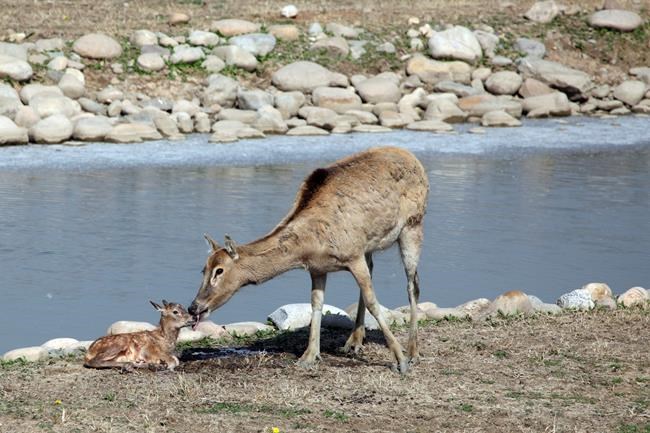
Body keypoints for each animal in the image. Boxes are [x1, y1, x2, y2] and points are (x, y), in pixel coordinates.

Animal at [189, 146, 429, 374]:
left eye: (219, 270)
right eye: (203, 269)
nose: (194, 307)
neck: (309, 246)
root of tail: (414, 160)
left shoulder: (352, 254)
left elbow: (374, 303)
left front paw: (400, 361)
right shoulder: (318, 268)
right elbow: (316, 304)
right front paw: (309, 356)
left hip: (413, 224)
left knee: (413, 284)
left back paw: (413, 352)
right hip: (369, 246)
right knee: (374, 270)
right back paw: (354, 342)